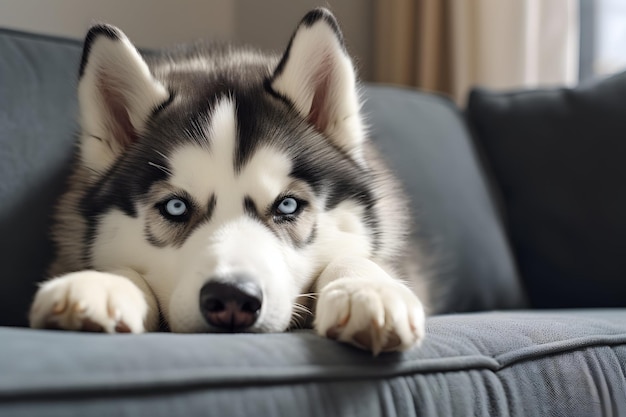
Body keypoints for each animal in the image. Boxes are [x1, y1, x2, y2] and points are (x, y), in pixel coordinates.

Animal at [30, 8, 428, 352]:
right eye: (175, 207)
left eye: (288, 205)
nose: (233, 298)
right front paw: (103, 283)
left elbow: (352, 257)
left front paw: (367, 289)